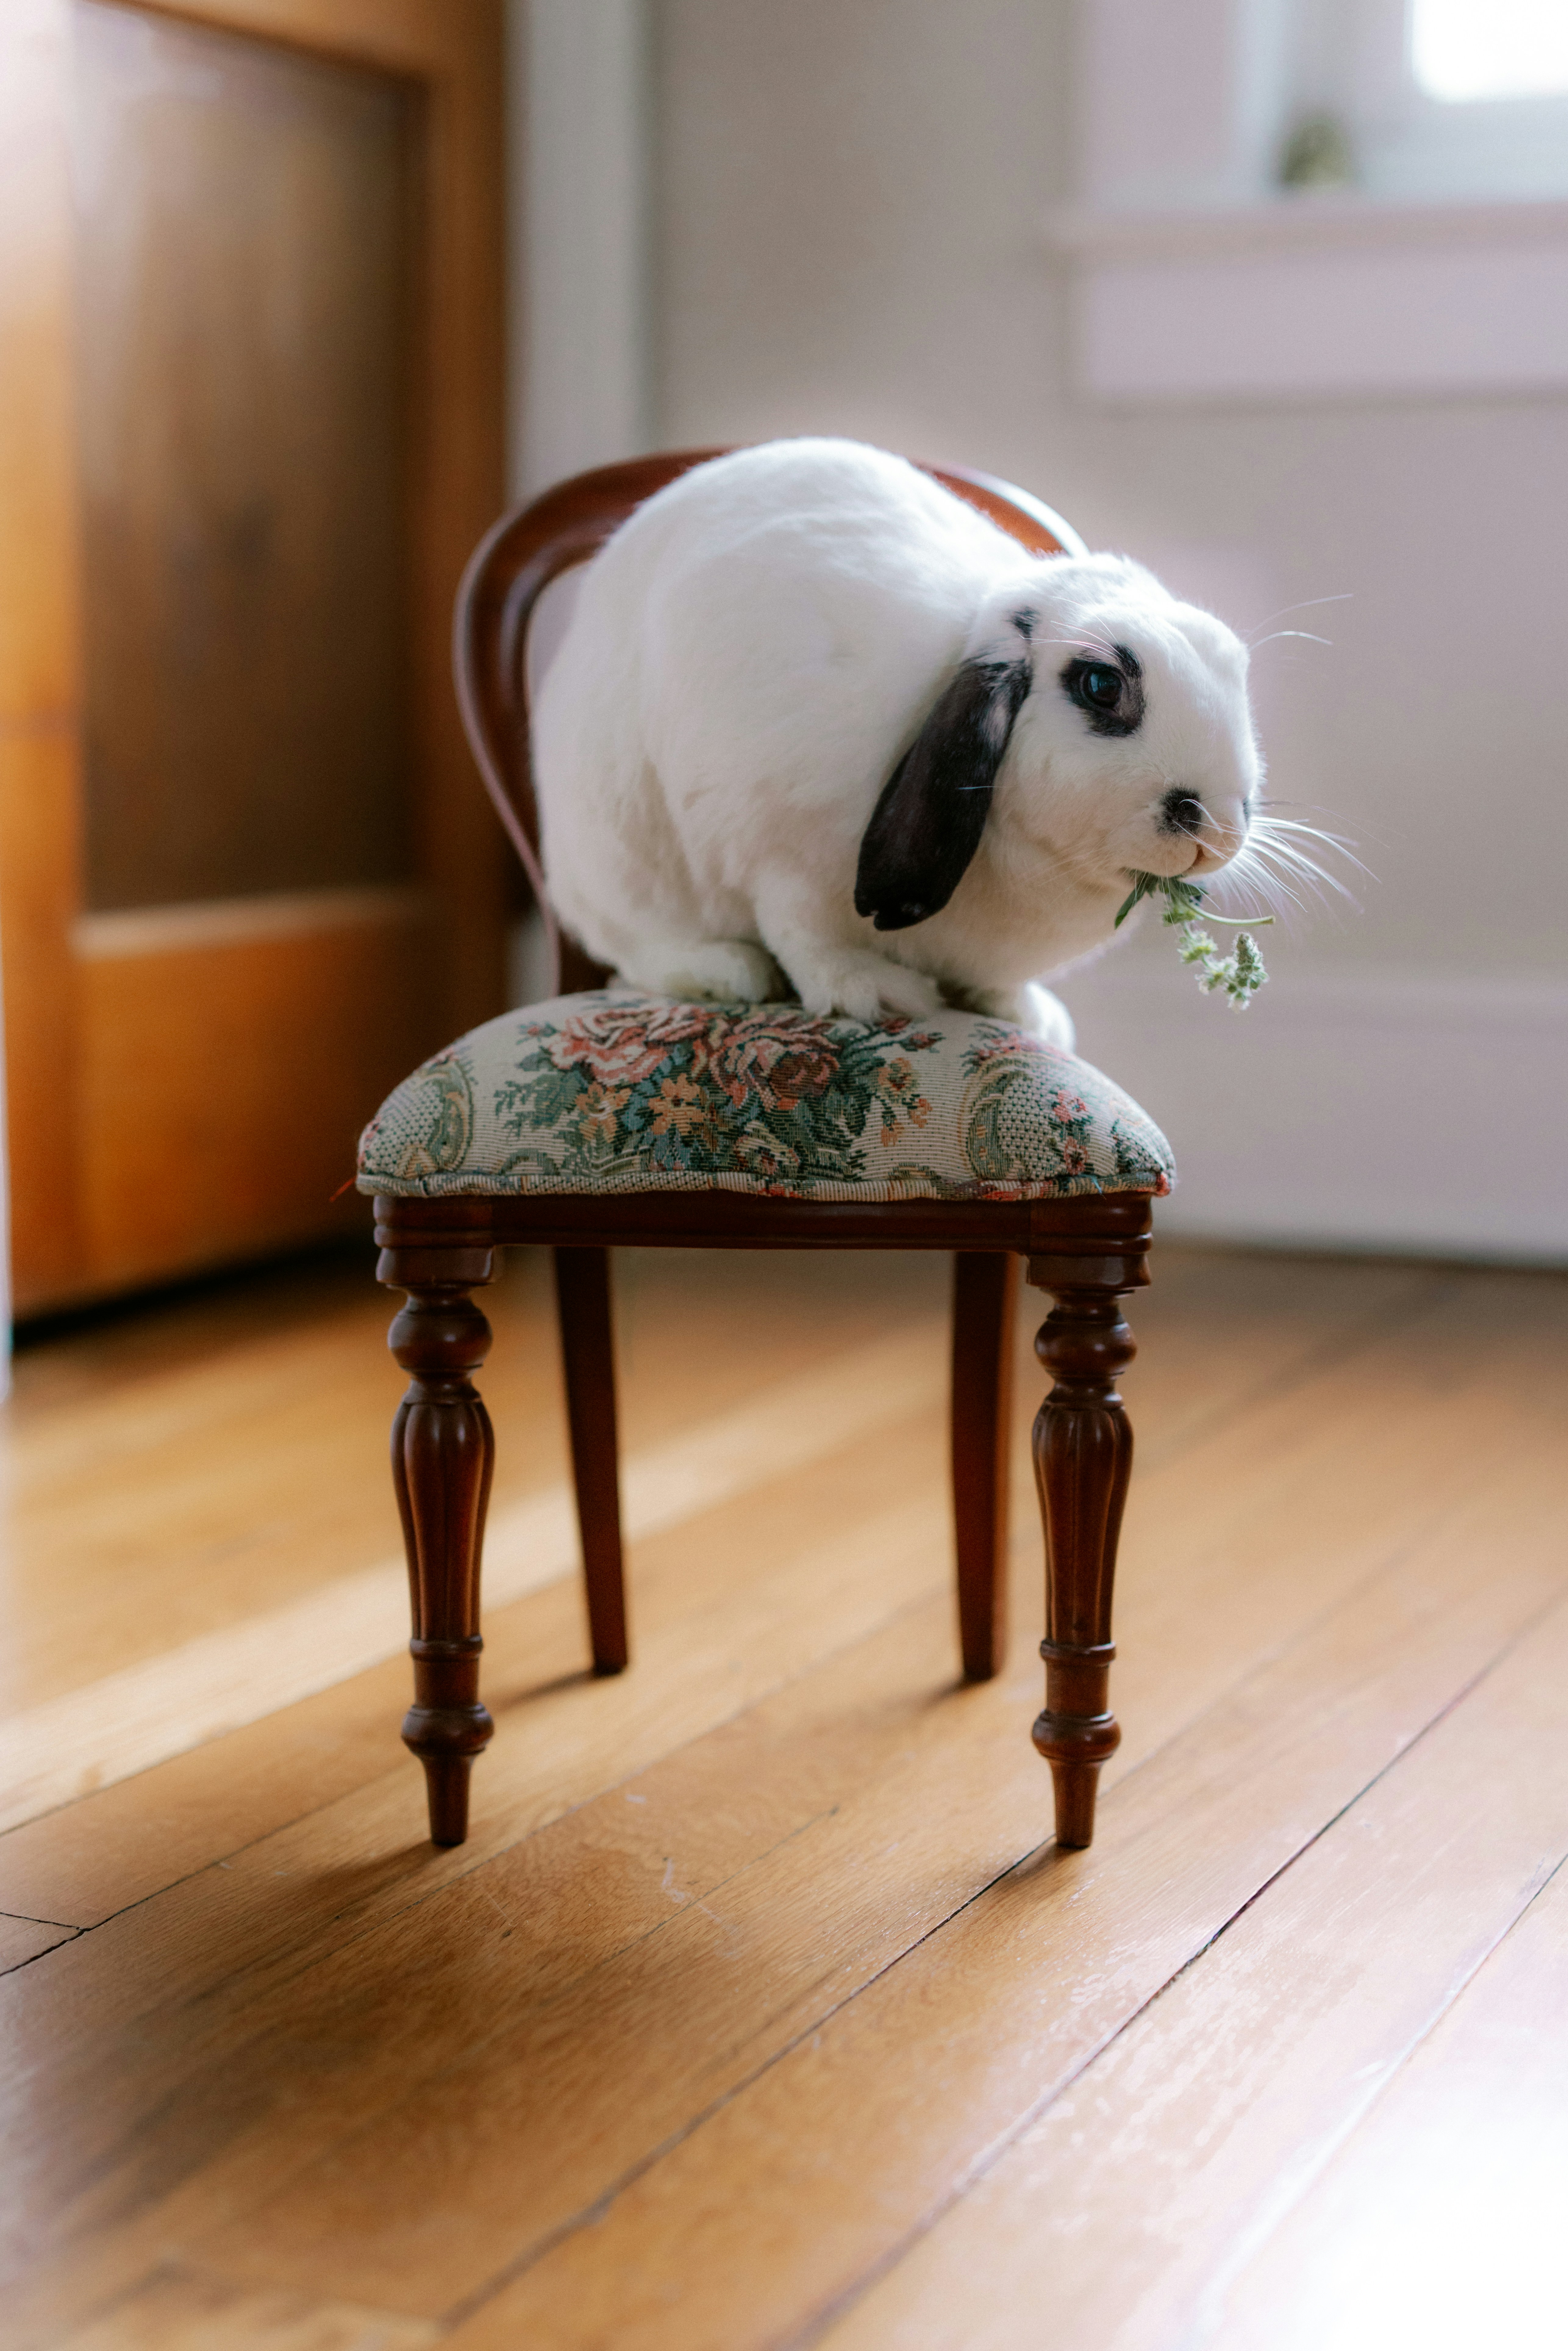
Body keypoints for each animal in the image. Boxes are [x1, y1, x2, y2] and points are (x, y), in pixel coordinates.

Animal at [532, 437, 1263, 1050]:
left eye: (1234, 665)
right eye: (1100, 685)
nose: (1213, 824)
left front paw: (1027, 1017)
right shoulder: (778, 855)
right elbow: (806, 937)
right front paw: (871, 992)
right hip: (621, 858)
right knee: (635, 949)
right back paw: (727, 971)